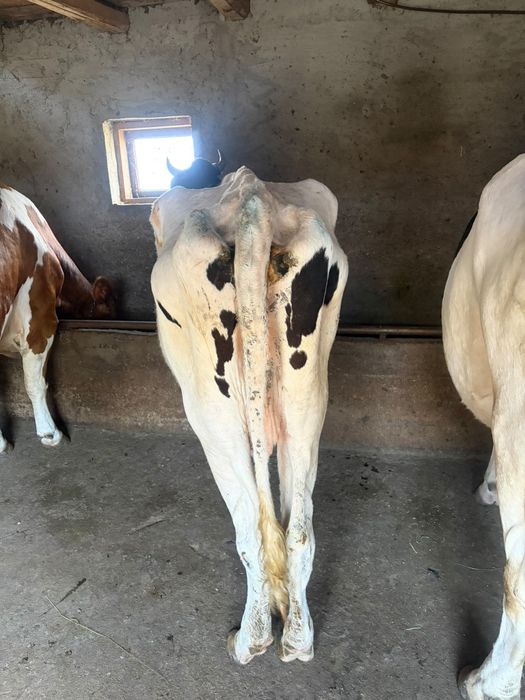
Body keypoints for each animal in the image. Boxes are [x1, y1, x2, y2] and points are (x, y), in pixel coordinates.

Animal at [150, 166, 347, 664]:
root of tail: (252, 200)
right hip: (306, 400)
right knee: (299, 529)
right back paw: (297, 638)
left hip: (213, 416)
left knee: (249, 530)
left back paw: (250, 640)